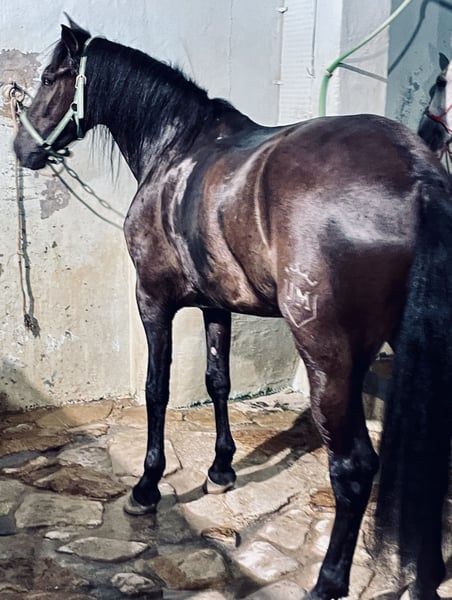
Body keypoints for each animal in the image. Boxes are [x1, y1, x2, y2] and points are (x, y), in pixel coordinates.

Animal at [13, 20, 452, 600]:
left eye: (48, 78)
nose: (21, 148)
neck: (178, 148)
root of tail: (418, 174)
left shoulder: (153, 300)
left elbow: (157, 389)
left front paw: (147, 487)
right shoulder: (216, 305)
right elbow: (217, 380)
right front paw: (221, 469)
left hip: (330, 360)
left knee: (354, 466)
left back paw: (329, 580)